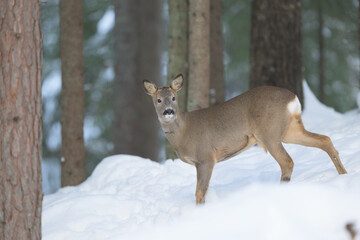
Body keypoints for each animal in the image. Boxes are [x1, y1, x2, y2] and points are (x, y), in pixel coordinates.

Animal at [143, 74, 346, 203]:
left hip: (269, 131)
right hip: (289, 130)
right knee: (324, 139)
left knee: (287, 161)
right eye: (158, 100)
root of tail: (293, 99)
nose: (168, 112)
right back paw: (343, 174)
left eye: (173, 97)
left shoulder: (206, 157)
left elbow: (200, 192)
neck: (183, 133)